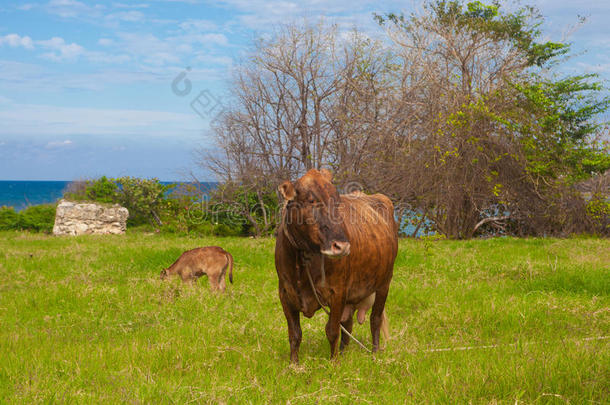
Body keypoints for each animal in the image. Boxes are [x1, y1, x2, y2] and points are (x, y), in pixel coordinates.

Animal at [276, 167, 400, 360]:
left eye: (337, 202)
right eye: (312, 201)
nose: (342, 246)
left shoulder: (338, 292)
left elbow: (332, 331)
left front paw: (333, 363)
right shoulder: (285, 293)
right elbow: (295, 334)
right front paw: (293, 364)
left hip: (384, 284)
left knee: (375, 319)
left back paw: (373, 353)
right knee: (348, 324)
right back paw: (343, 352)